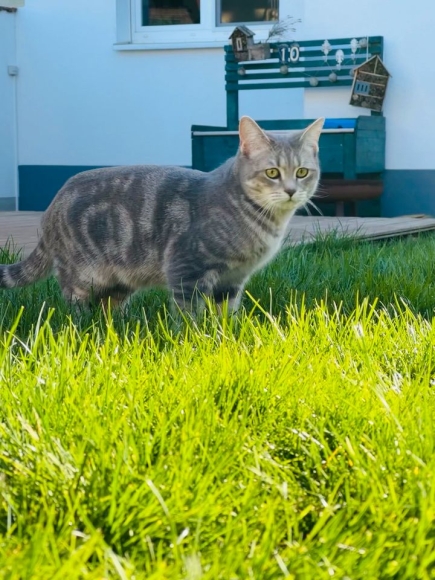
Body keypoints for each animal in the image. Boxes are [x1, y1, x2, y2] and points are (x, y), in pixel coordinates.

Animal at [0, 116, 324, 312]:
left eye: (302, 172)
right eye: (272, 173)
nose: (291, 191)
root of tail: (52, 205)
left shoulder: (232, 282)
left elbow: (225, 317)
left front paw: (226, 339)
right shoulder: (186, 271)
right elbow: (191, 318)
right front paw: (197, 342)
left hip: (120, 281)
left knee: (107, 309)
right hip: (82, 277)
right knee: (75, 307)